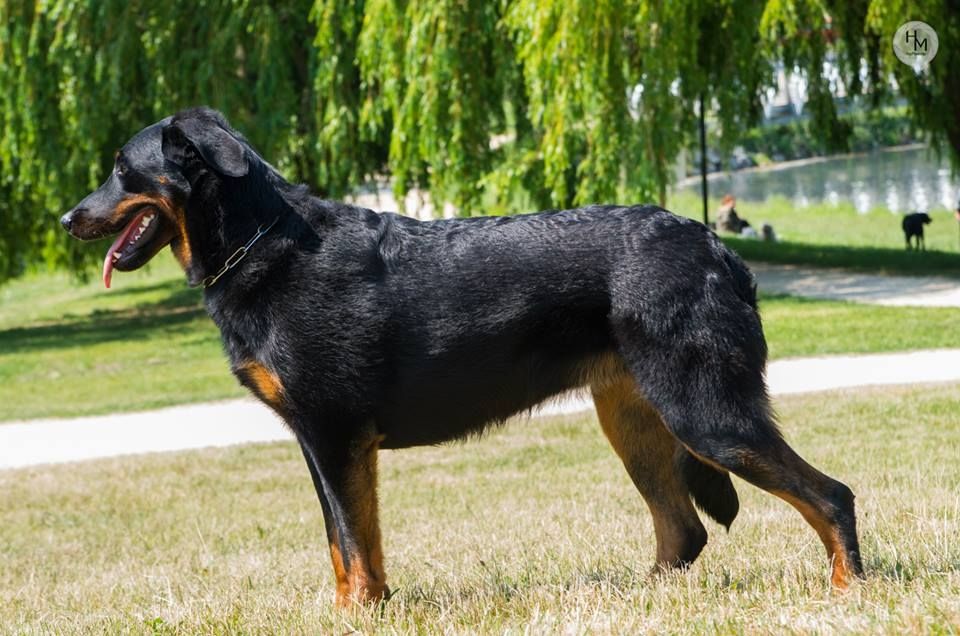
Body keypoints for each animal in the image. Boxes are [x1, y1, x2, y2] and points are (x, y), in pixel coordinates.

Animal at [63, 108, 868, 608]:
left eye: (121, 171)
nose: (69, 218)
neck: (260, 245)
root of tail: (715, 246)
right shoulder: (324, 445)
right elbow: (347, 543)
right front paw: (362, 609)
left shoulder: (334, 436)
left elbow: (352, 544)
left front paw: (359, 614)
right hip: (636, 420)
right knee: (684, 530)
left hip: (706, 414)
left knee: (830, 496)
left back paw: (848, 593)